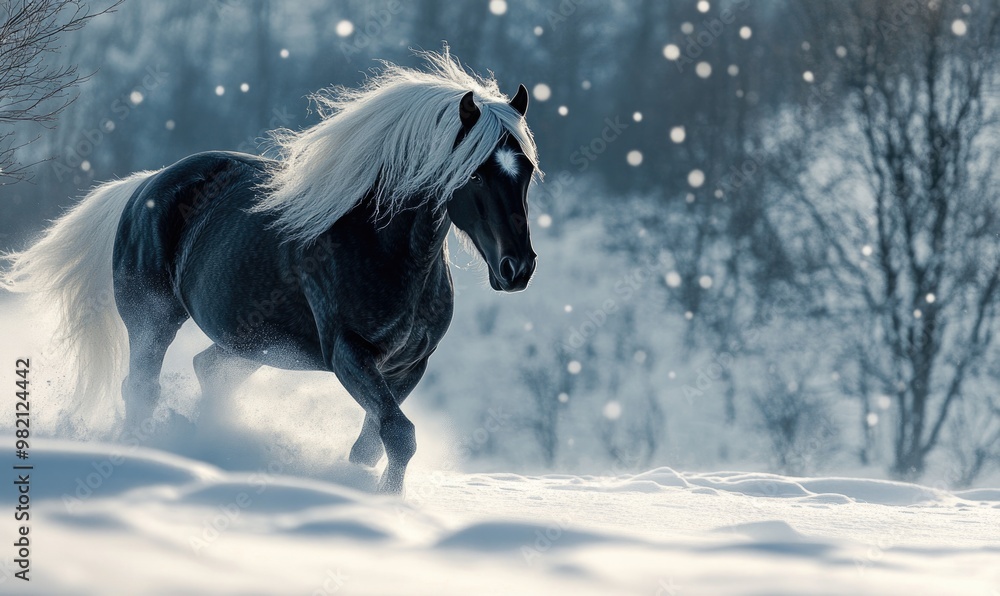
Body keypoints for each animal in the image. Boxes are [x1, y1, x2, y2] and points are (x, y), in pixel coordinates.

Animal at [3, 50, 540, 493]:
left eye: (528, 171)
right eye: (475, 173)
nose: (517, 269)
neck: (387, 249)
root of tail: (144, 186)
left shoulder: (407, 365)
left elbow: (372, 444)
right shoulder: (349, 353)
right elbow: (399, 434)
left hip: (254, 343)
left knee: (209, 371)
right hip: (153, 320)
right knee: (141, 389)